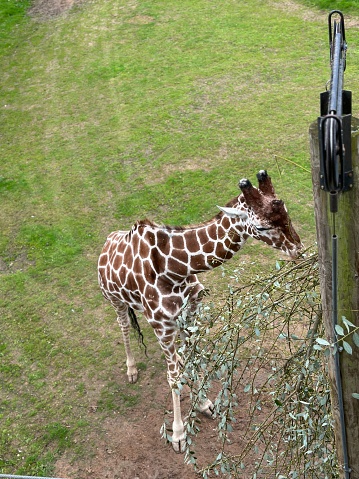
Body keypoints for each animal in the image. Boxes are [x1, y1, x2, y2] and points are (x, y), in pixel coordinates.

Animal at [97, 172, 302, 454]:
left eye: (286, 210)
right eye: (261, 227)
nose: (297, 249)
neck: (175, 270)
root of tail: (105, 244)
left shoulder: (190, 314)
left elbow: (193, 359)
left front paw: (205, 404)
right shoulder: (162, 326)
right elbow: (173, 377)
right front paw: (178, 434)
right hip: (114, 300)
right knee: (124, 325)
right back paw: (131, 370)